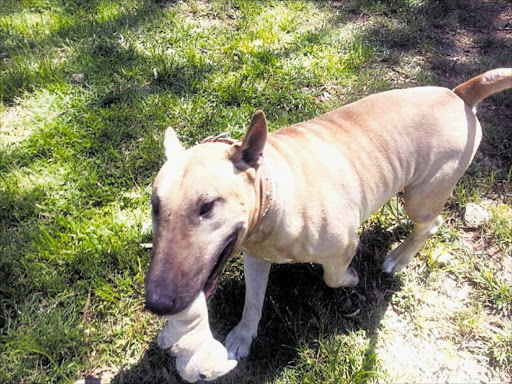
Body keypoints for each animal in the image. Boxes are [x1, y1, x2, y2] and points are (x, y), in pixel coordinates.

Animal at [144, 69, 512, 364]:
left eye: (207, 206)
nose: (157, 304)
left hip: (421, 197)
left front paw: (350, 278)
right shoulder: (255, 257)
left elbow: (332, 277)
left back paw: (399, 257)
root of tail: (459, 94)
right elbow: (252, 301)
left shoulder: (344, 244)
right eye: (155, 205)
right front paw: (242, 337)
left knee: (431, 223)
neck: (274, 199)